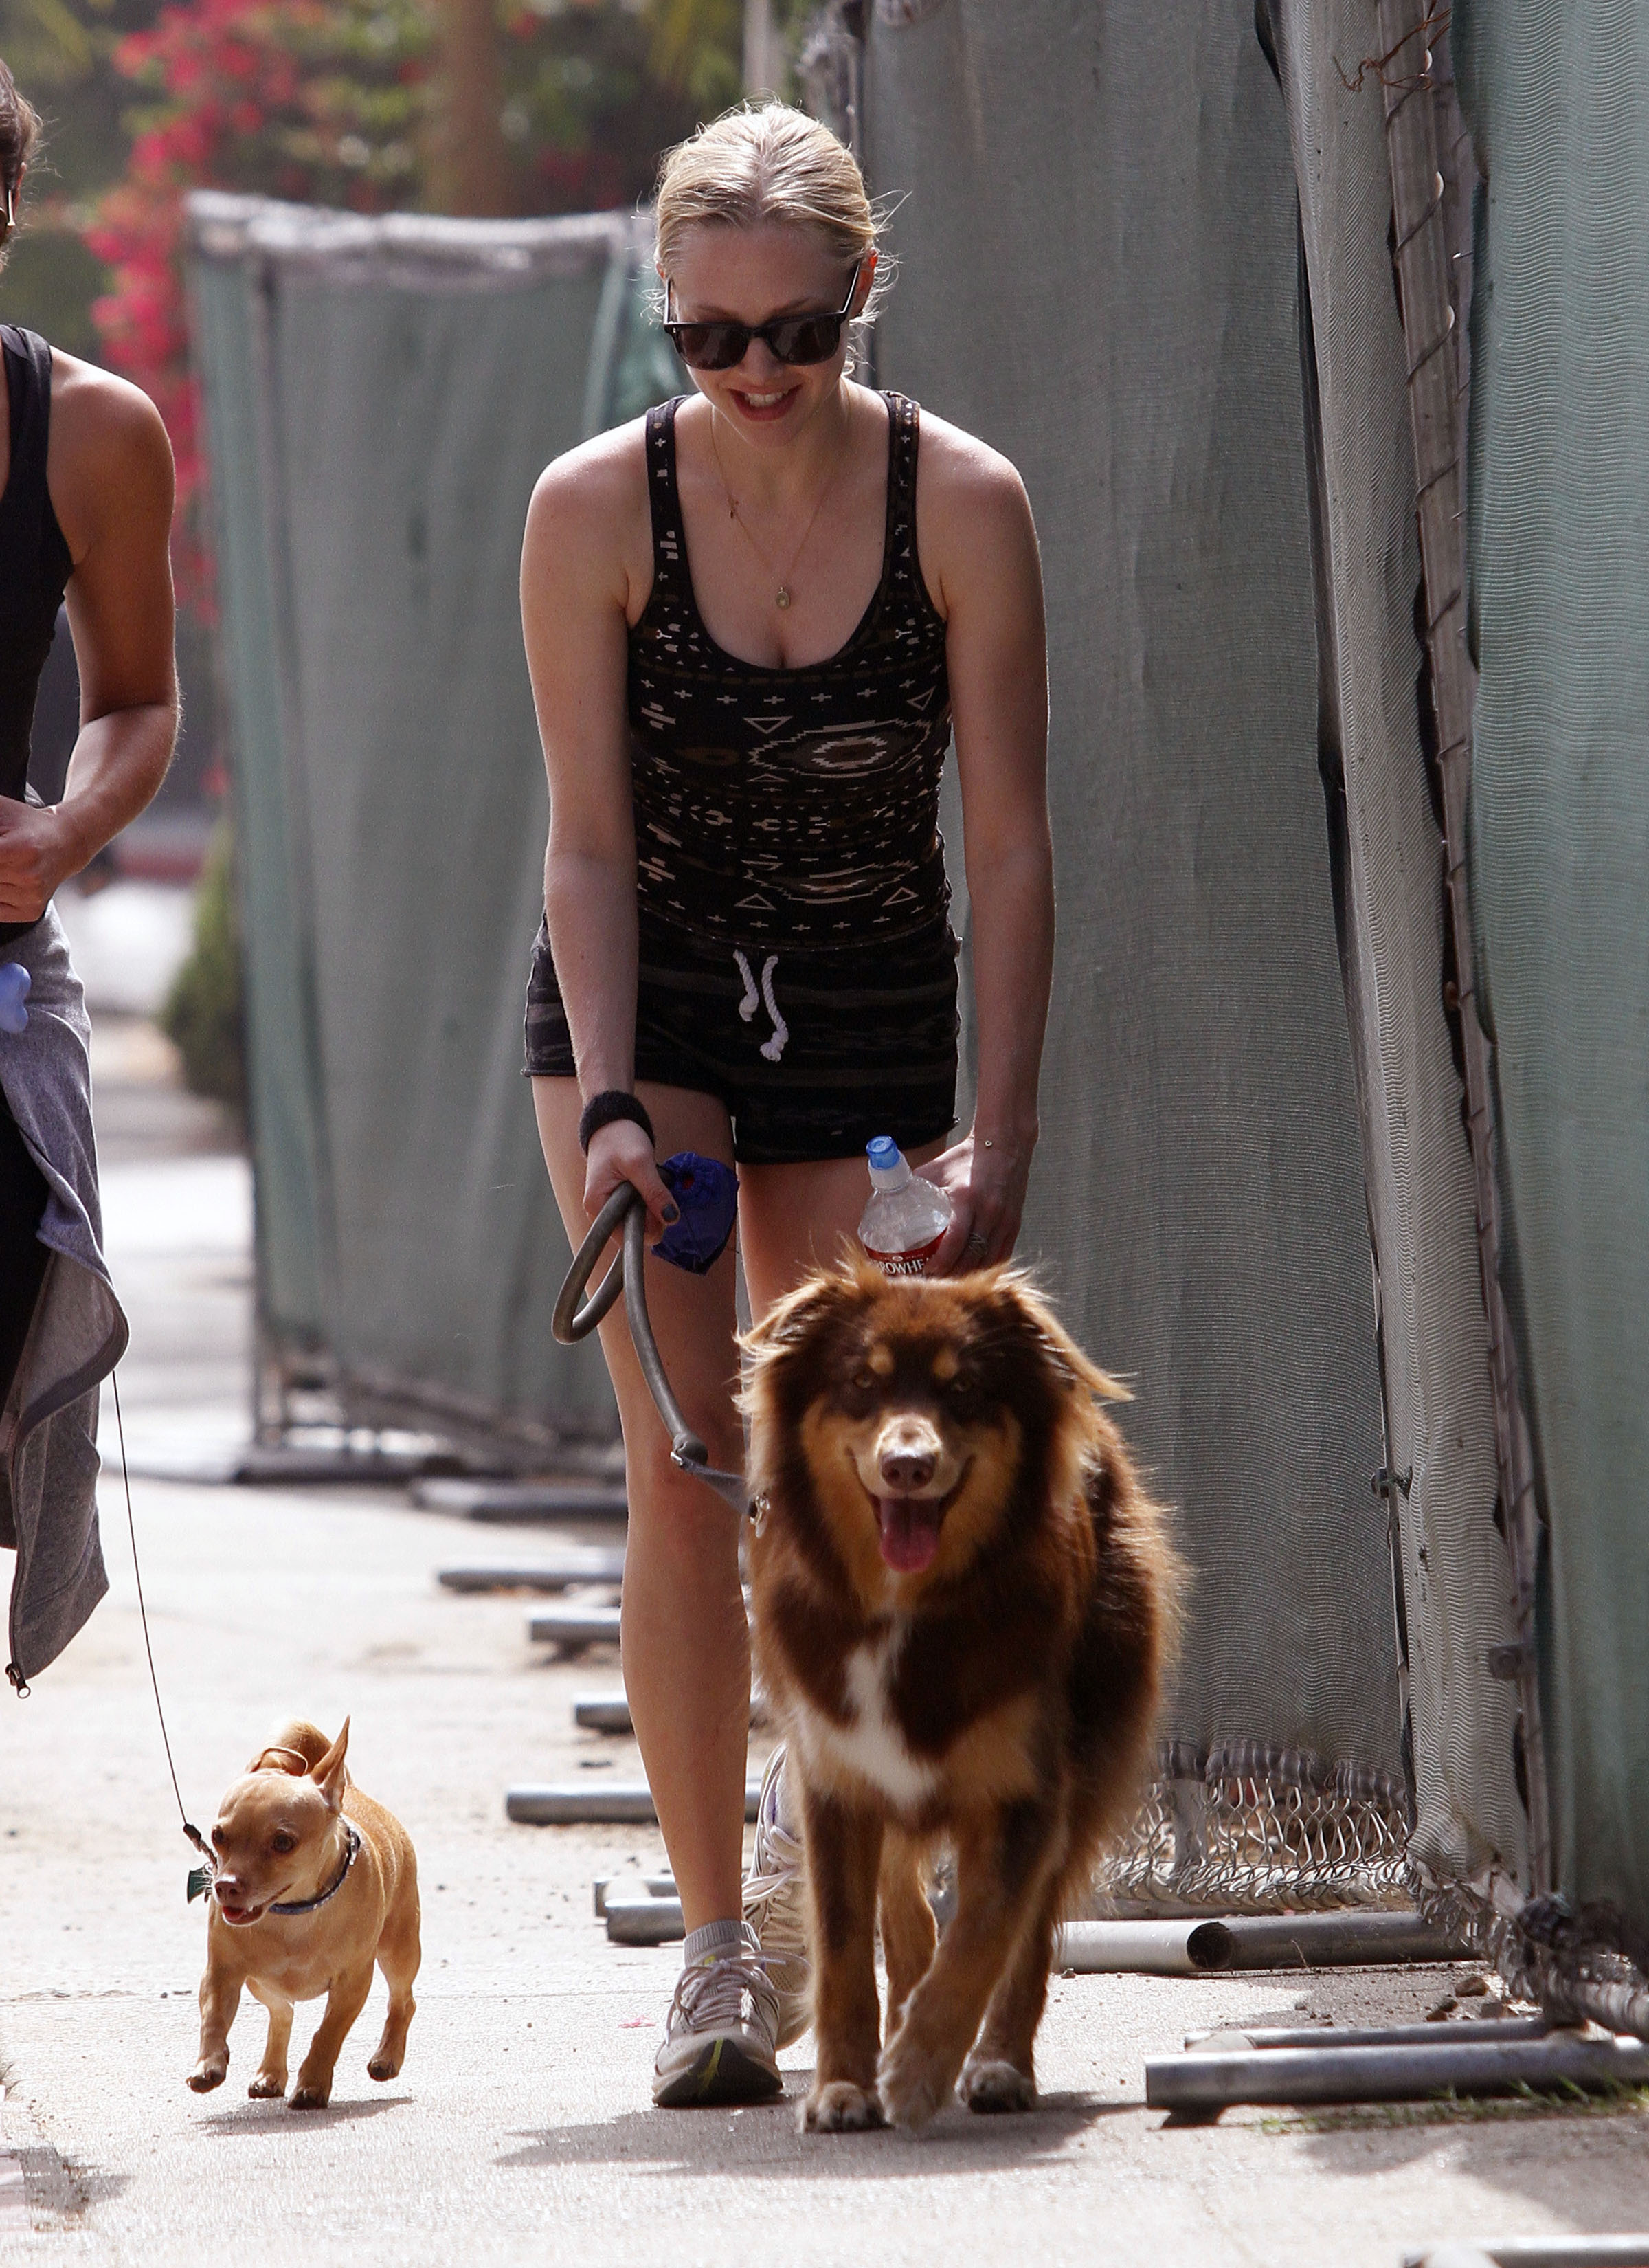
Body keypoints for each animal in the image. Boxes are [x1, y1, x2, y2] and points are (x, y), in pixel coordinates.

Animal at [187, 1718, 421, 2109]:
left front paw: (312, 2085)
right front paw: (209, 2064)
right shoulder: (222, 1974)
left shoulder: (352, 1984)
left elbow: (328, 2034)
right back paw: (270, 2074)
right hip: (261, 1984)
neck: (292, 1915)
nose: (225, 1885)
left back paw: (387, 2057)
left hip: (399, 1953)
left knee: (403, 2001)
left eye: (283, 1843)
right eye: (218, 1835)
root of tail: (351, 1790)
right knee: (283, 2014)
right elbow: (213, 2019)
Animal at [741, 1256, 1181, 2133]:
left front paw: (920, 2068)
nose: (908, 1465)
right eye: (861, 1382)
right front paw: (844, 2085)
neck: (902, 1609)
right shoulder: (834, 1778)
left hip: (1090, 1743)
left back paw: (998, 2066)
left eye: (966, 1389)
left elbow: (985, 1931)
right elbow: (847, 1945)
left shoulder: (1028, 1788)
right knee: (902, 1902)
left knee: (1027, 1933)